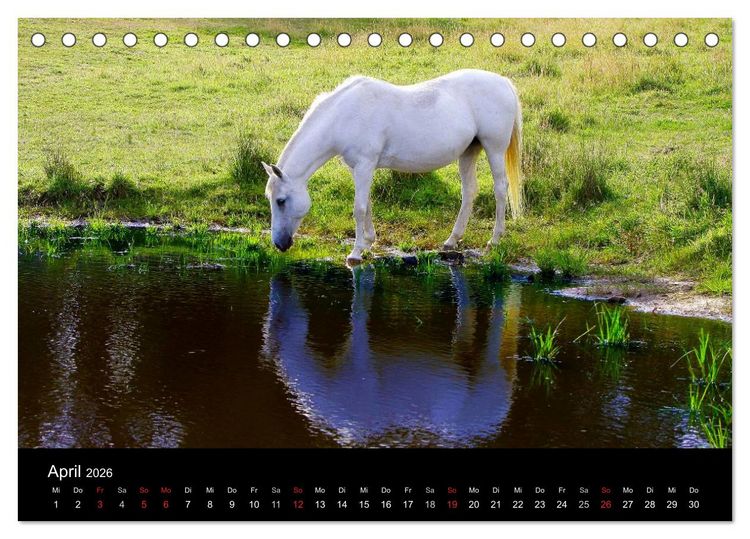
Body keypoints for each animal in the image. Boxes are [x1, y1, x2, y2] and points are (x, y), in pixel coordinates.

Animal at [262, 68, 523, 264]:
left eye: (281, 201)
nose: (280, 244)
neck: (344, 115)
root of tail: (504, 82)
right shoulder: (359, 168)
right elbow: (366, 204)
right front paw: (368, 241)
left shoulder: (365, 165)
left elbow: (359, 208)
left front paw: (355, 252)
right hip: (469, 152)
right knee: (469, 192)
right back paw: (452, 240)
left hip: (494, 149)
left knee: (500, 190)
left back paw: (494, 240)